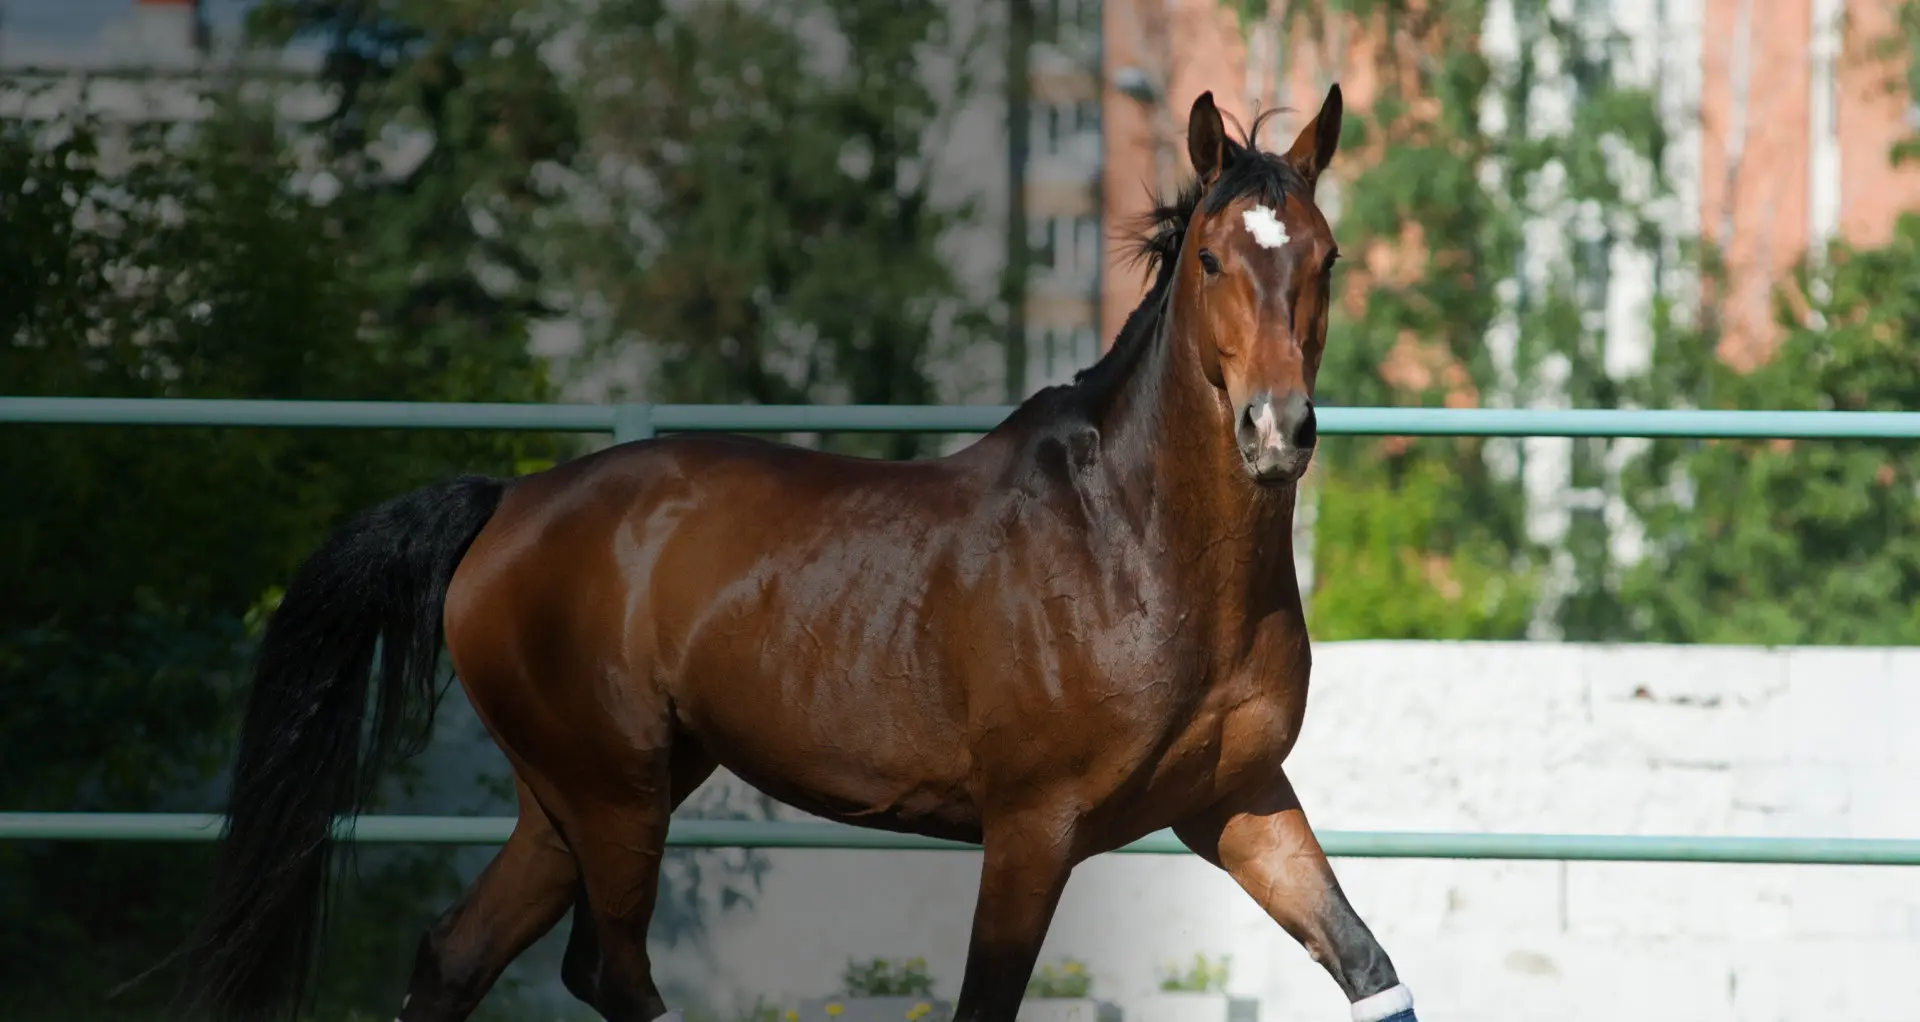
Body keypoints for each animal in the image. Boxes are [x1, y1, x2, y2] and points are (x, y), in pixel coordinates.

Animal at [176, 85, 1417, 1022]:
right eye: (1209, 258)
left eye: (1326, 256)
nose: (1276, 430)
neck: (1138, 550)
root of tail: (509, 502)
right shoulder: (1031, 827)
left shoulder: (1238, 801)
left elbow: (1368, 962)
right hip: (614, 791)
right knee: (605, 969)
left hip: (575, 794)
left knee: (458, 955)